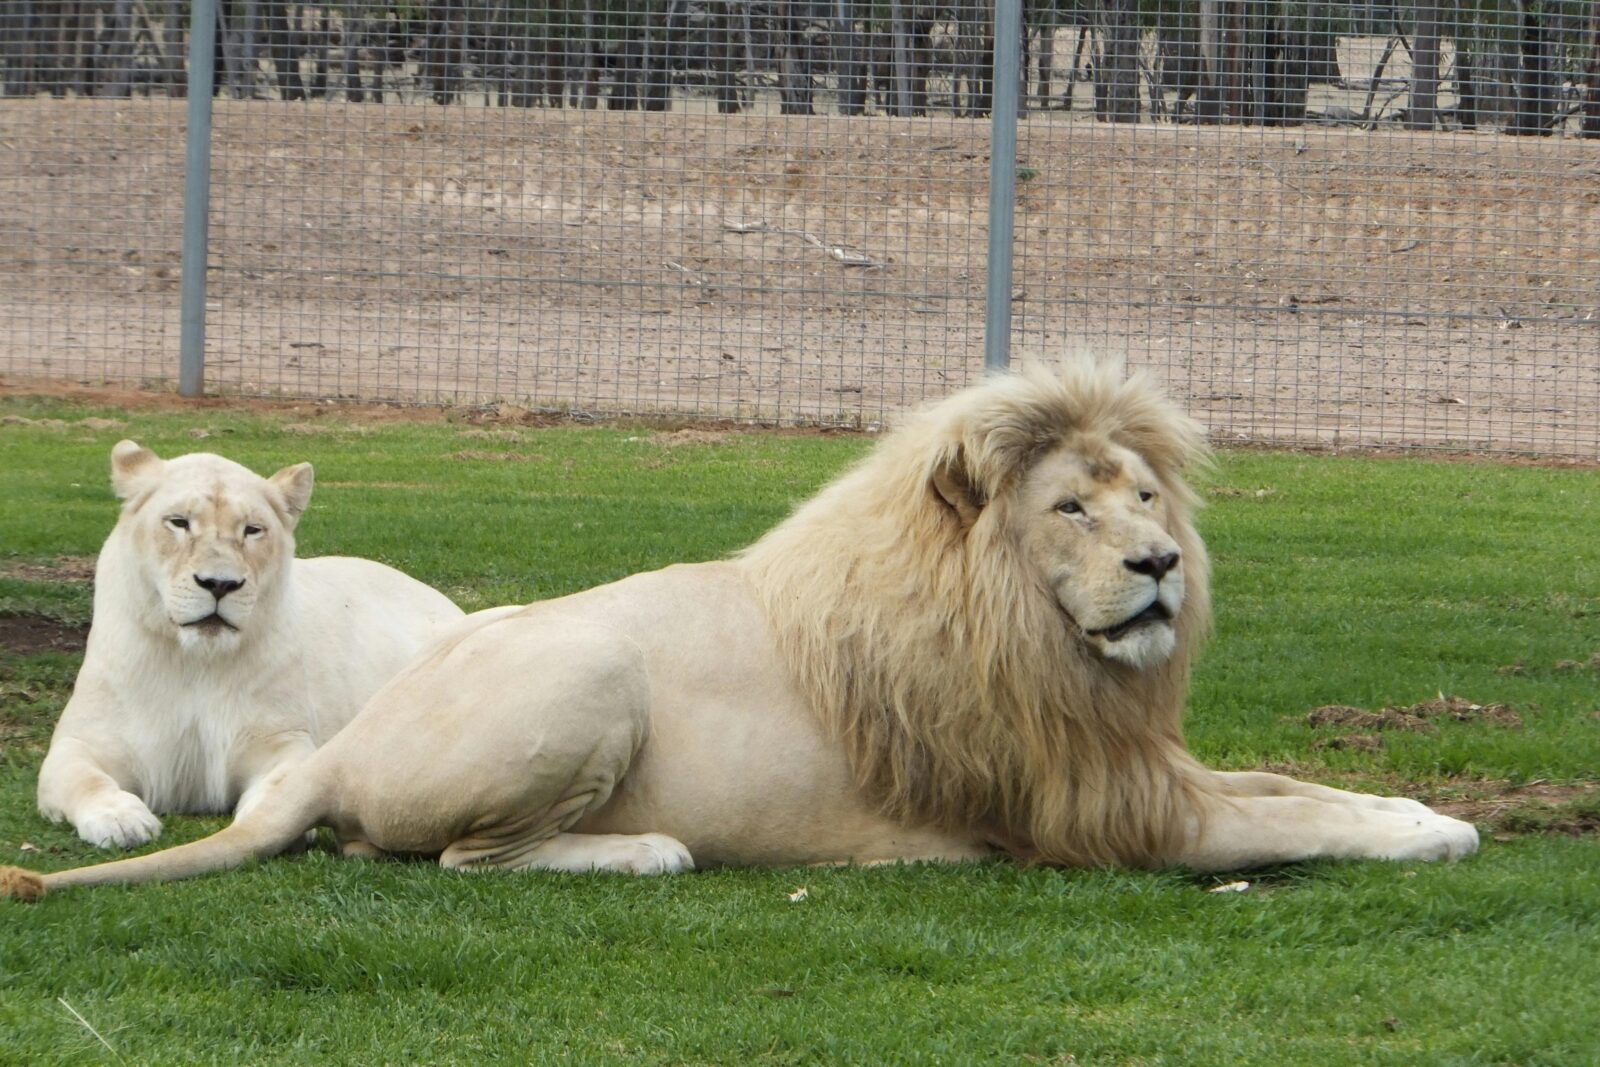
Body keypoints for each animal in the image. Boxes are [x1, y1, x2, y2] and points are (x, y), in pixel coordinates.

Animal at [30, 440, 465, 851]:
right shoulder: (84, 740)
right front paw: (121, 821)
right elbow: (80, 777)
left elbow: (285, 784)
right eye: (179, 522)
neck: (195, 662)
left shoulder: (279, 738)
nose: (219, 584)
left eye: (252, 530)